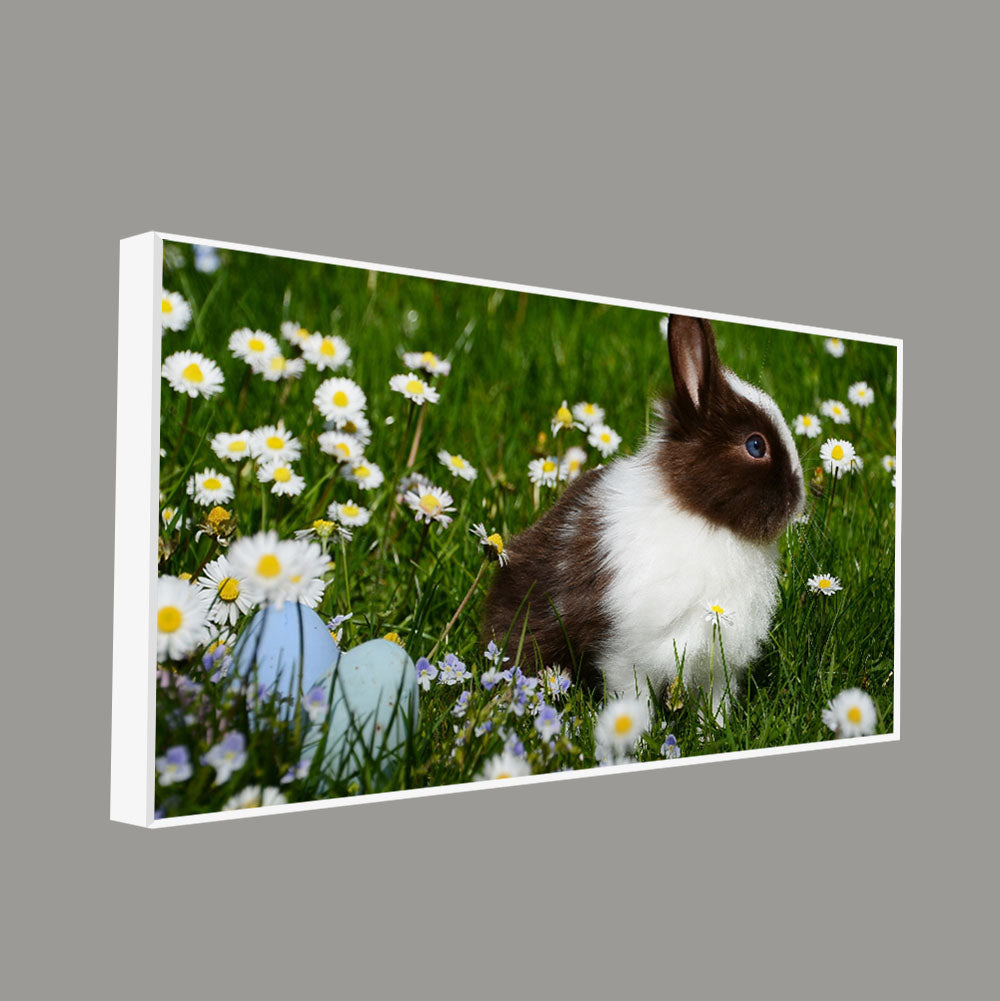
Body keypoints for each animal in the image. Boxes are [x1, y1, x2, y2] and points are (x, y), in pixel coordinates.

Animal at [483, 313, 805, 718]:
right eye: (756, 446)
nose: (799, 498)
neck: (704, 519)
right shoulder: (627, 655)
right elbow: (632, 700)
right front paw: (637, 734)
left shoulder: (719, 664)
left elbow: (715, 702)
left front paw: (713, 730)